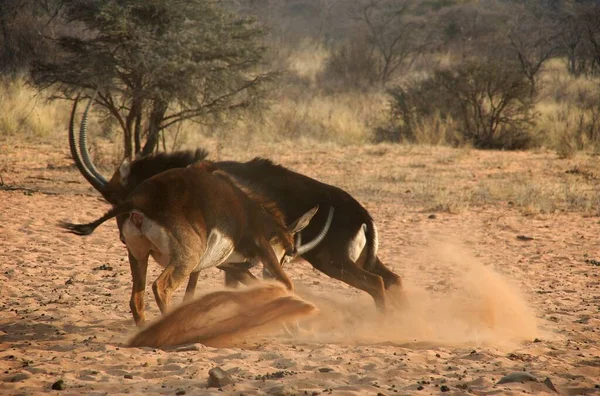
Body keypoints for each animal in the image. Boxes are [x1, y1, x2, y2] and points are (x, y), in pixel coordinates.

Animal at [60, 160, 330, 324]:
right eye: (288, 252)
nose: (270, 271)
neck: (250, 211)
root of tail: (139, 200)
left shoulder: (218, 265)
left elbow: (193, 294)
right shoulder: (261, 247)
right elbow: (287, 284)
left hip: (139, 256)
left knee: (137, 299)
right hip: (184, 258)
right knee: (161, 287)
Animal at [68, 93, 400, 312]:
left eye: (115, 197)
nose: (123, 235)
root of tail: (363, 215)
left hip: (333, 261)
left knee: (376, 284)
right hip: (354, 260)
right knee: (392, 280)